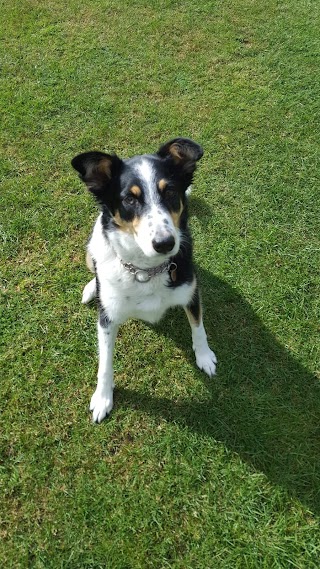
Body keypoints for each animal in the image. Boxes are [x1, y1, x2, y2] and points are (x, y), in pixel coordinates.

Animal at [72, 138, 218, 422]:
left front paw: (204, 356)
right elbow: (105, 361)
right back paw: (91, 288)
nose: (165, 243)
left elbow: (198, 327)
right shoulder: (107, 319)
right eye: (130, 198)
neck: (146, 269)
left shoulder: (191, 292)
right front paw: (103, 397)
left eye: (170, 191)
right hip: (90, 250)